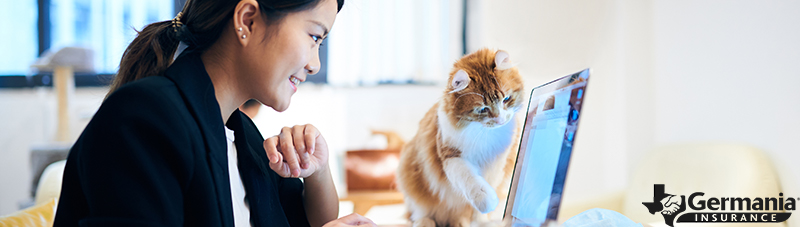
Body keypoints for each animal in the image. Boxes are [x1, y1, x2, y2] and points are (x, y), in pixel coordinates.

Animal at [396, 48, 524, 227]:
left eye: (506, 99)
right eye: (483, 109)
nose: (500, 120)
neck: (484, 134)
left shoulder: (498, 163)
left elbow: (481, 206)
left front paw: (481, 221)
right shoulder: (450, 156)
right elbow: (471, 181)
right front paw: (486, 201)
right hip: (409, 174)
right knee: (419, 212)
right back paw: (426, 222)